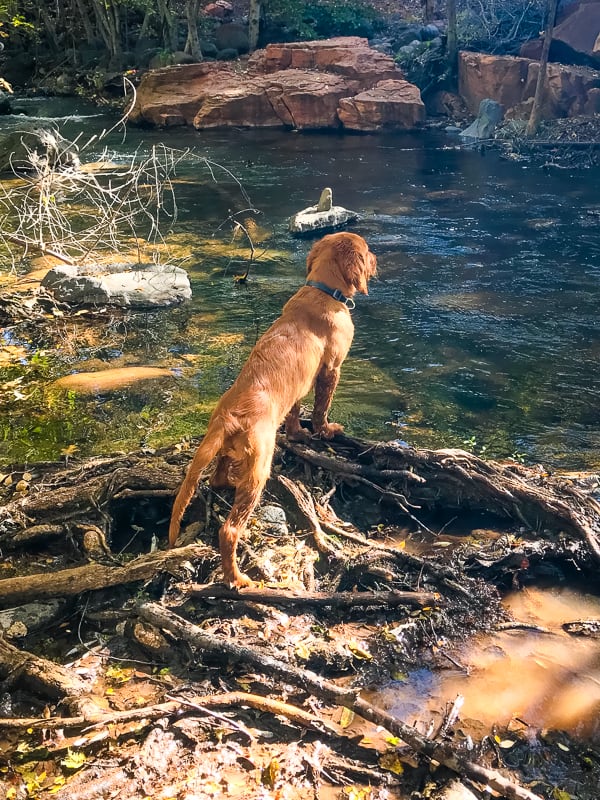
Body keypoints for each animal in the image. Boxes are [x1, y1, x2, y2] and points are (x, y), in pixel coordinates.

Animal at [168, 231, 376, 588]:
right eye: (368, 251)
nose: (378, 261)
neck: (322, 290)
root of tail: (229, 417)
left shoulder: (299, 387)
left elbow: (295, 412)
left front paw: (297, 434)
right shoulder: (331, 369)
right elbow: (321, 408)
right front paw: (325, 431)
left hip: (225, 452)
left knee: (217, 479)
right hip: (259, 466)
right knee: (229, 530)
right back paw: (238, 579)